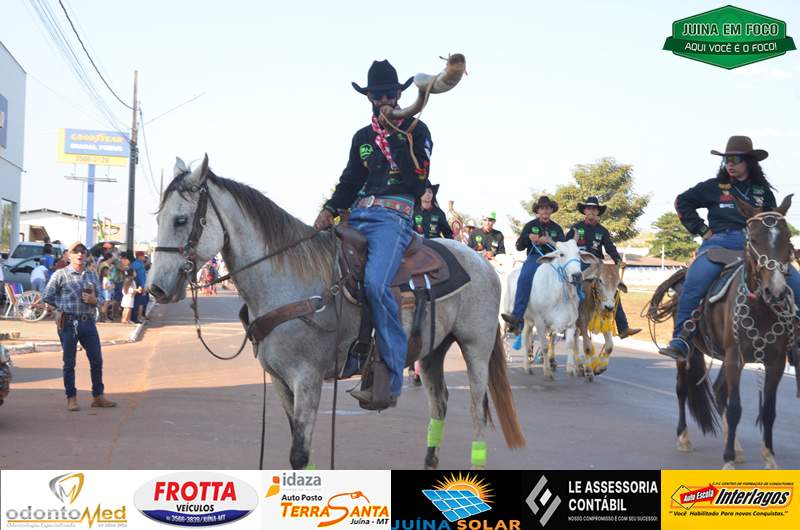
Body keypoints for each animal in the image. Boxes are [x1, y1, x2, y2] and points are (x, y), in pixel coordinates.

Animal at [148, 156, 526, 470]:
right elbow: (301, 450)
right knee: (441, 402)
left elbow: (299, 454)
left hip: (475, 348)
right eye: (159, 218)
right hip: (433, 351)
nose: (155, 289)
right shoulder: (280, 381)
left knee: (476, 409)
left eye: (181, 220)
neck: (290, 280)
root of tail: (482, 262)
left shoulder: (308, 379)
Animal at [646, 195, 796, 469]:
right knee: (682, 390)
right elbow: (735, 407)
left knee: (718, 391)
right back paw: (684, 438)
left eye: (788, 239)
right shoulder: (735, 357)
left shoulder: (776, 362)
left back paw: (735, 446)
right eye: (754, 240)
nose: (777, 291)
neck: (760, 307)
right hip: (690, 352)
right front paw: (727, 461)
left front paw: (769, 457)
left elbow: (769, 410)